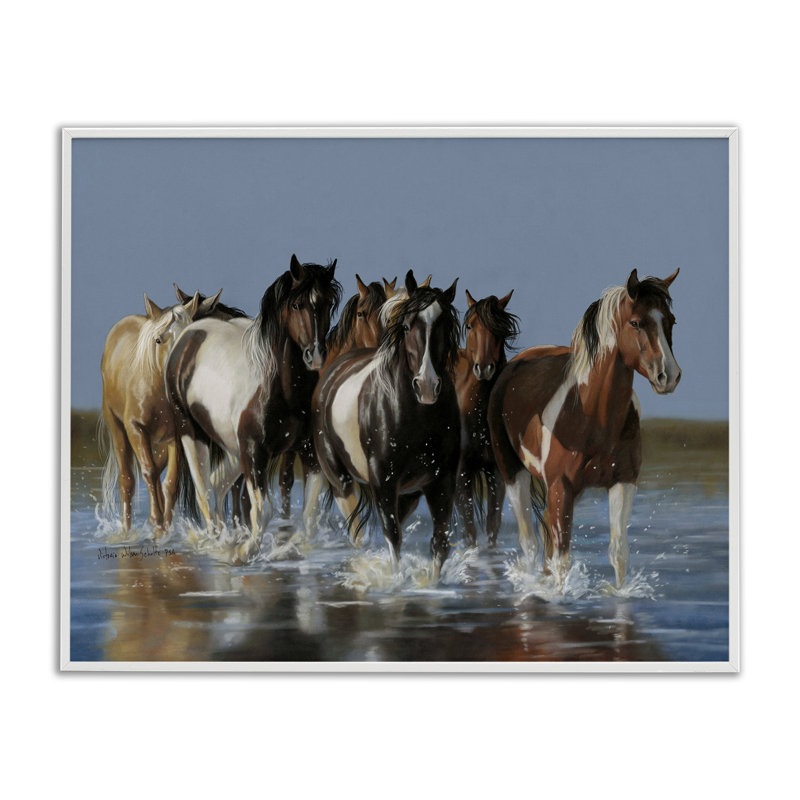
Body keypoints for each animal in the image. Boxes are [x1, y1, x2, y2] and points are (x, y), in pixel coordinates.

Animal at [99, 291, 201, 535]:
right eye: (158, 340)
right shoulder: (136, 429)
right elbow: (148, 471)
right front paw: (156, 520)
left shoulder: (177, 435)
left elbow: (170, 481)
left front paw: (165, 527)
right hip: (117, 428)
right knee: (127, 480)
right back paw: (126, 531)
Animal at [165, 255, 342, 548]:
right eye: (297, 304)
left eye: (328, 303)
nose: (315, 355)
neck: (280, 390)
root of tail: (189, 335)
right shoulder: (253, 453)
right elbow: (261, 509)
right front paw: (247, 550)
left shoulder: (308, 455)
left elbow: (309, 515)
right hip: (192, 433)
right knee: (204, 491)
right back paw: (216, 542)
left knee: (217, 484)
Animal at [312, 269, 461, 578]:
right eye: (406, 326)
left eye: (446, 326)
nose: (427, 386)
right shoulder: (384, 482)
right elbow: (392, 537)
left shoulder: (442, 481)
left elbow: (439, 544)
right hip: (341, 481)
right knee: (357, 532)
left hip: (410, 493)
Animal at [453, 289, 519, 546]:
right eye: (470, 326)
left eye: (500, 330)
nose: (484, 368)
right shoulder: (461, 475)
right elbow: (469, 530)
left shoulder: (496, 473)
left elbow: (492, 525)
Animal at [488, 269, 681, 588]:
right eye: (636, 322)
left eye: (671, 321)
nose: (668, 376)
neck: (594, 417)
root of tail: (516, 363)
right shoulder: (561, 488)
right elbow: (562, 559)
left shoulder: (623, 482)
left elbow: (619, 554)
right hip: (514, 474)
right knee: (530, 543)